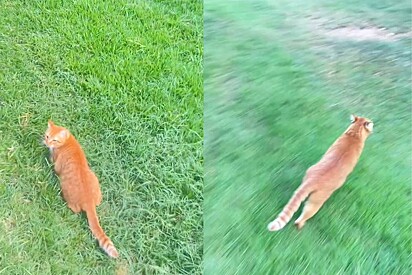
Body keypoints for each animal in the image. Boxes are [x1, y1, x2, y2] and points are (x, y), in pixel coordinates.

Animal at [45, 121, 119, 258]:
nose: (46, 143)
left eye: (54, 140)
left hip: (64, 187)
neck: (68, 140)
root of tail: (89, 201)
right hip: (94, 177)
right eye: (47, 136)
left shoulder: (56, 162)